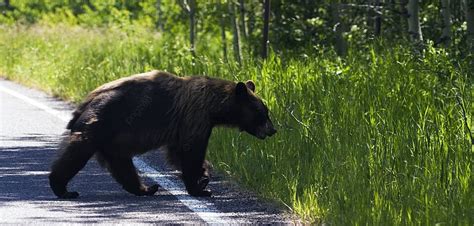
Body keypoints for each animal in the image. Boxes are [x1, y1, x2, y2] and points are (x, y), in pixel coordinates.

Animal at [47, 70, 276, 198]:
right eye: (262, 112)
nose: (273, 129)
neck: (215, 107)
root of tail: (85, 102)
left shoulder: (182, 126)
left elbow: (177, 152)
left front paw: (204, 177)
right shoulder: (195, 117)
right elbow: (190, 150)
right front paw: (201, 186)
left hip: (112, 139)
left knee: (122, 165)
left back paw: (146, 189)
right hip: (100, 123)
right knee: (77, 152)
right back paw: (62, 188)